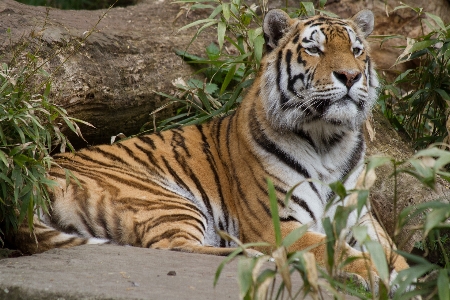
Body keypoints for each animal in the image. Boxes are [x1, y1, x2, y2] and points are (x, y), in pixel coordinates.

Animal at [7, 8, 408, 286]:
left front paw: (405, 273)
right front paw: (373, 272)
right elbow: (336, 249)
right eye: (314, 49)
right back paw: (250, 255)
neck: (328, 140)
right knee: (178, 249)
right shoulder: (279, 223)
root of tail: (32, 182)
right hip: (163, 199)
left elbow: (394, 254)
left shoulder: (362, 219)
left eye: (356, 50)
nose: (350, 76)